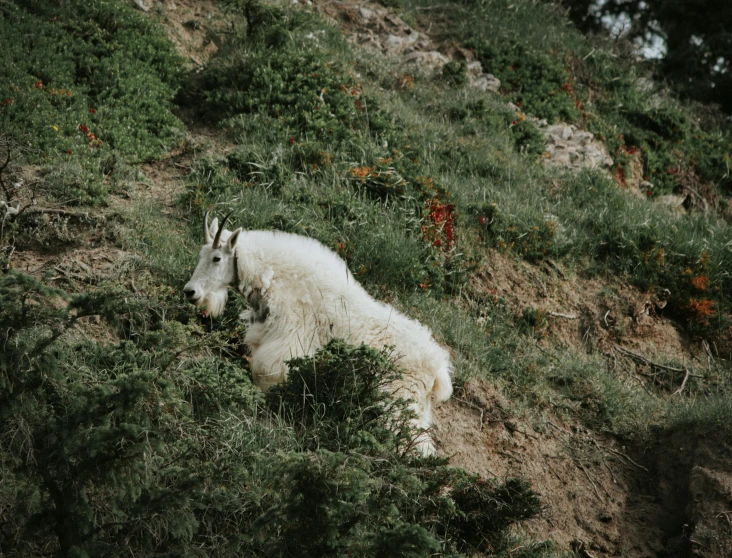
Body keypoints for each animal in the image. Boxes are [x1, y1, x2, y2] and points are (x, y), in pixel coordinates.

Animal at [183, 214, 452, 456]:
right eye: (201, 255)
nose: (190, 291)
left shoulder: (288, 341)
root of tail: (438, 367)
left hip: (399, 399)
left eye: (217, 258)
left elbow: (266, 374)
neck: (274, 278)